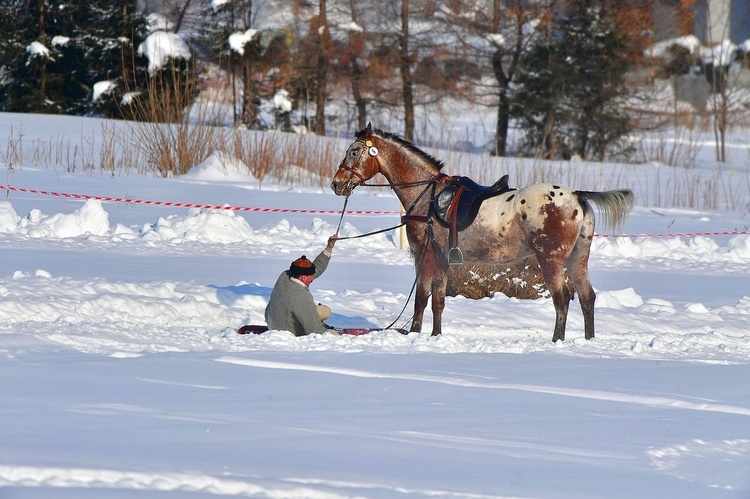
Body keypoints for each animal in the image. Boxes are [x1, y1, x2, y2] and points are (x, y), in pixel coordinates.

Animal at [332, 125, 632, 344]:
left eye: (354, 151)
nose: (337, 184)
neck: (428, 196)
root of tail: (577, 196)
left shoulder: (424, 256)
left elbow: (421, 298)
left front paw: (415, 333)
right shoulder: (442, 261)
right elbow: (438, 301)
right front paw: (435, 336)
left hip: (552, 261)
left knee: (562, 299)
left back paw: (556, 340)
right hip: (577, 259)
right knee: (586, 297)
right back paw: (588, 340)